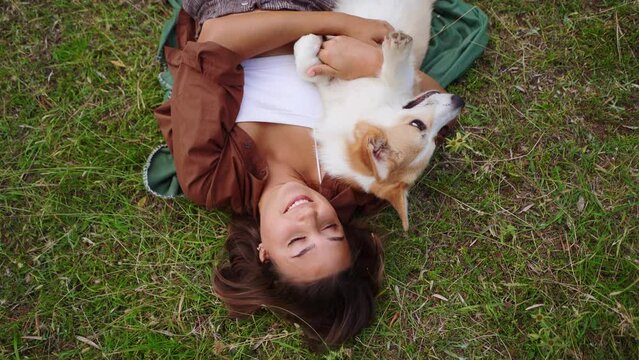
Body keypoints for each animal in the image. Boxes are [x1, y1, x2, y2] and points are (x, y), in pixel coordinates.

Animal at [296, 0, 464, 231]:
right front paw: (307, 44)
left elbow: (395, 71)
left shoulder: (398, 82)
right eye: (418, 125)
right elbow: (308, 72)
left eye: (433, 141)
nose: (460, 102)